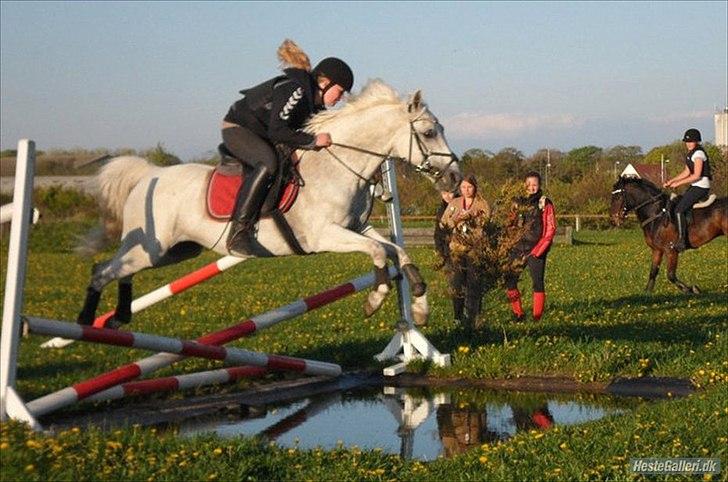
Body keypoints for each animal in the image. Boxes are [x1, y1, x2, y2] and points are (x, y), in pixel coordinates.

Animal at [78, 80, 460, 328]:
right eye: (429, 133)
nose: (455, 178)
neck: (336, 164)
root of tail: (149, 175)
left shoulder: (357, 227)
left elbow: (398, 250)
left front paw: (420, 304)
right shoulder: (325, 235)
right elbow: (379, 252)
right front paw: (375, 299)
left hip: (174, 252)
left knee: (123, 269)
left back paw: (119, 317)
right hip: (153, 248)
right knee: (104, 270)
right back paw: (86, 319)